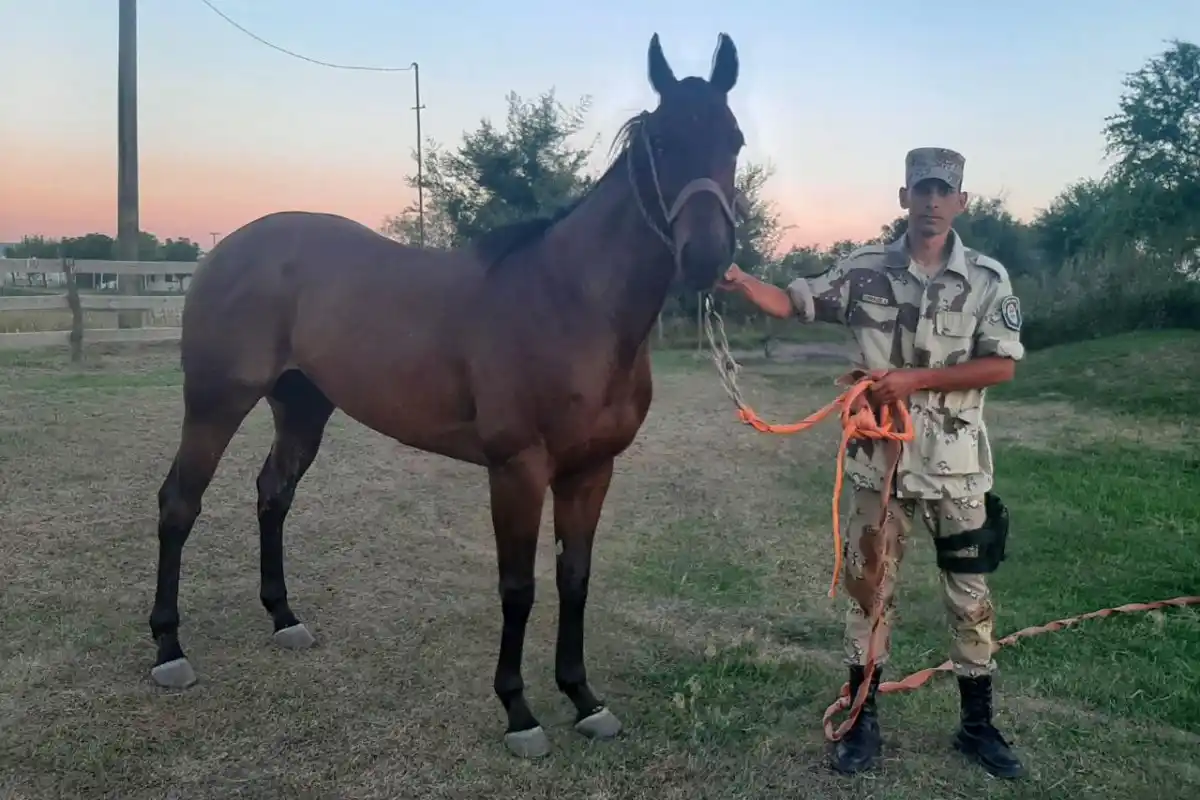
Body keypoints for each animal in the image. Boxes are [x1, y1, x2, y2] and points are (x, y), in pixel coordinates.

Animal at [149, 32, 745, 758]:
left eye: (734, 139)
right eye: (660, 142)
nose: (706, 258)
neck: (574, 305)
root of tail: (222, 251)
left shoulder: (591, 470)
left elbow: (574, 579)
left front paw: (583, 698)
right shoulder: (517, 468)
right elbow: (518, 587)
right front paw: (519, 712)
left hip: (302, 407)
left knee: (272, 493)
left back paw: (284, 617)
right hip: (215, 404)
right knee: (180, 503)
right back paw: (169, 650)